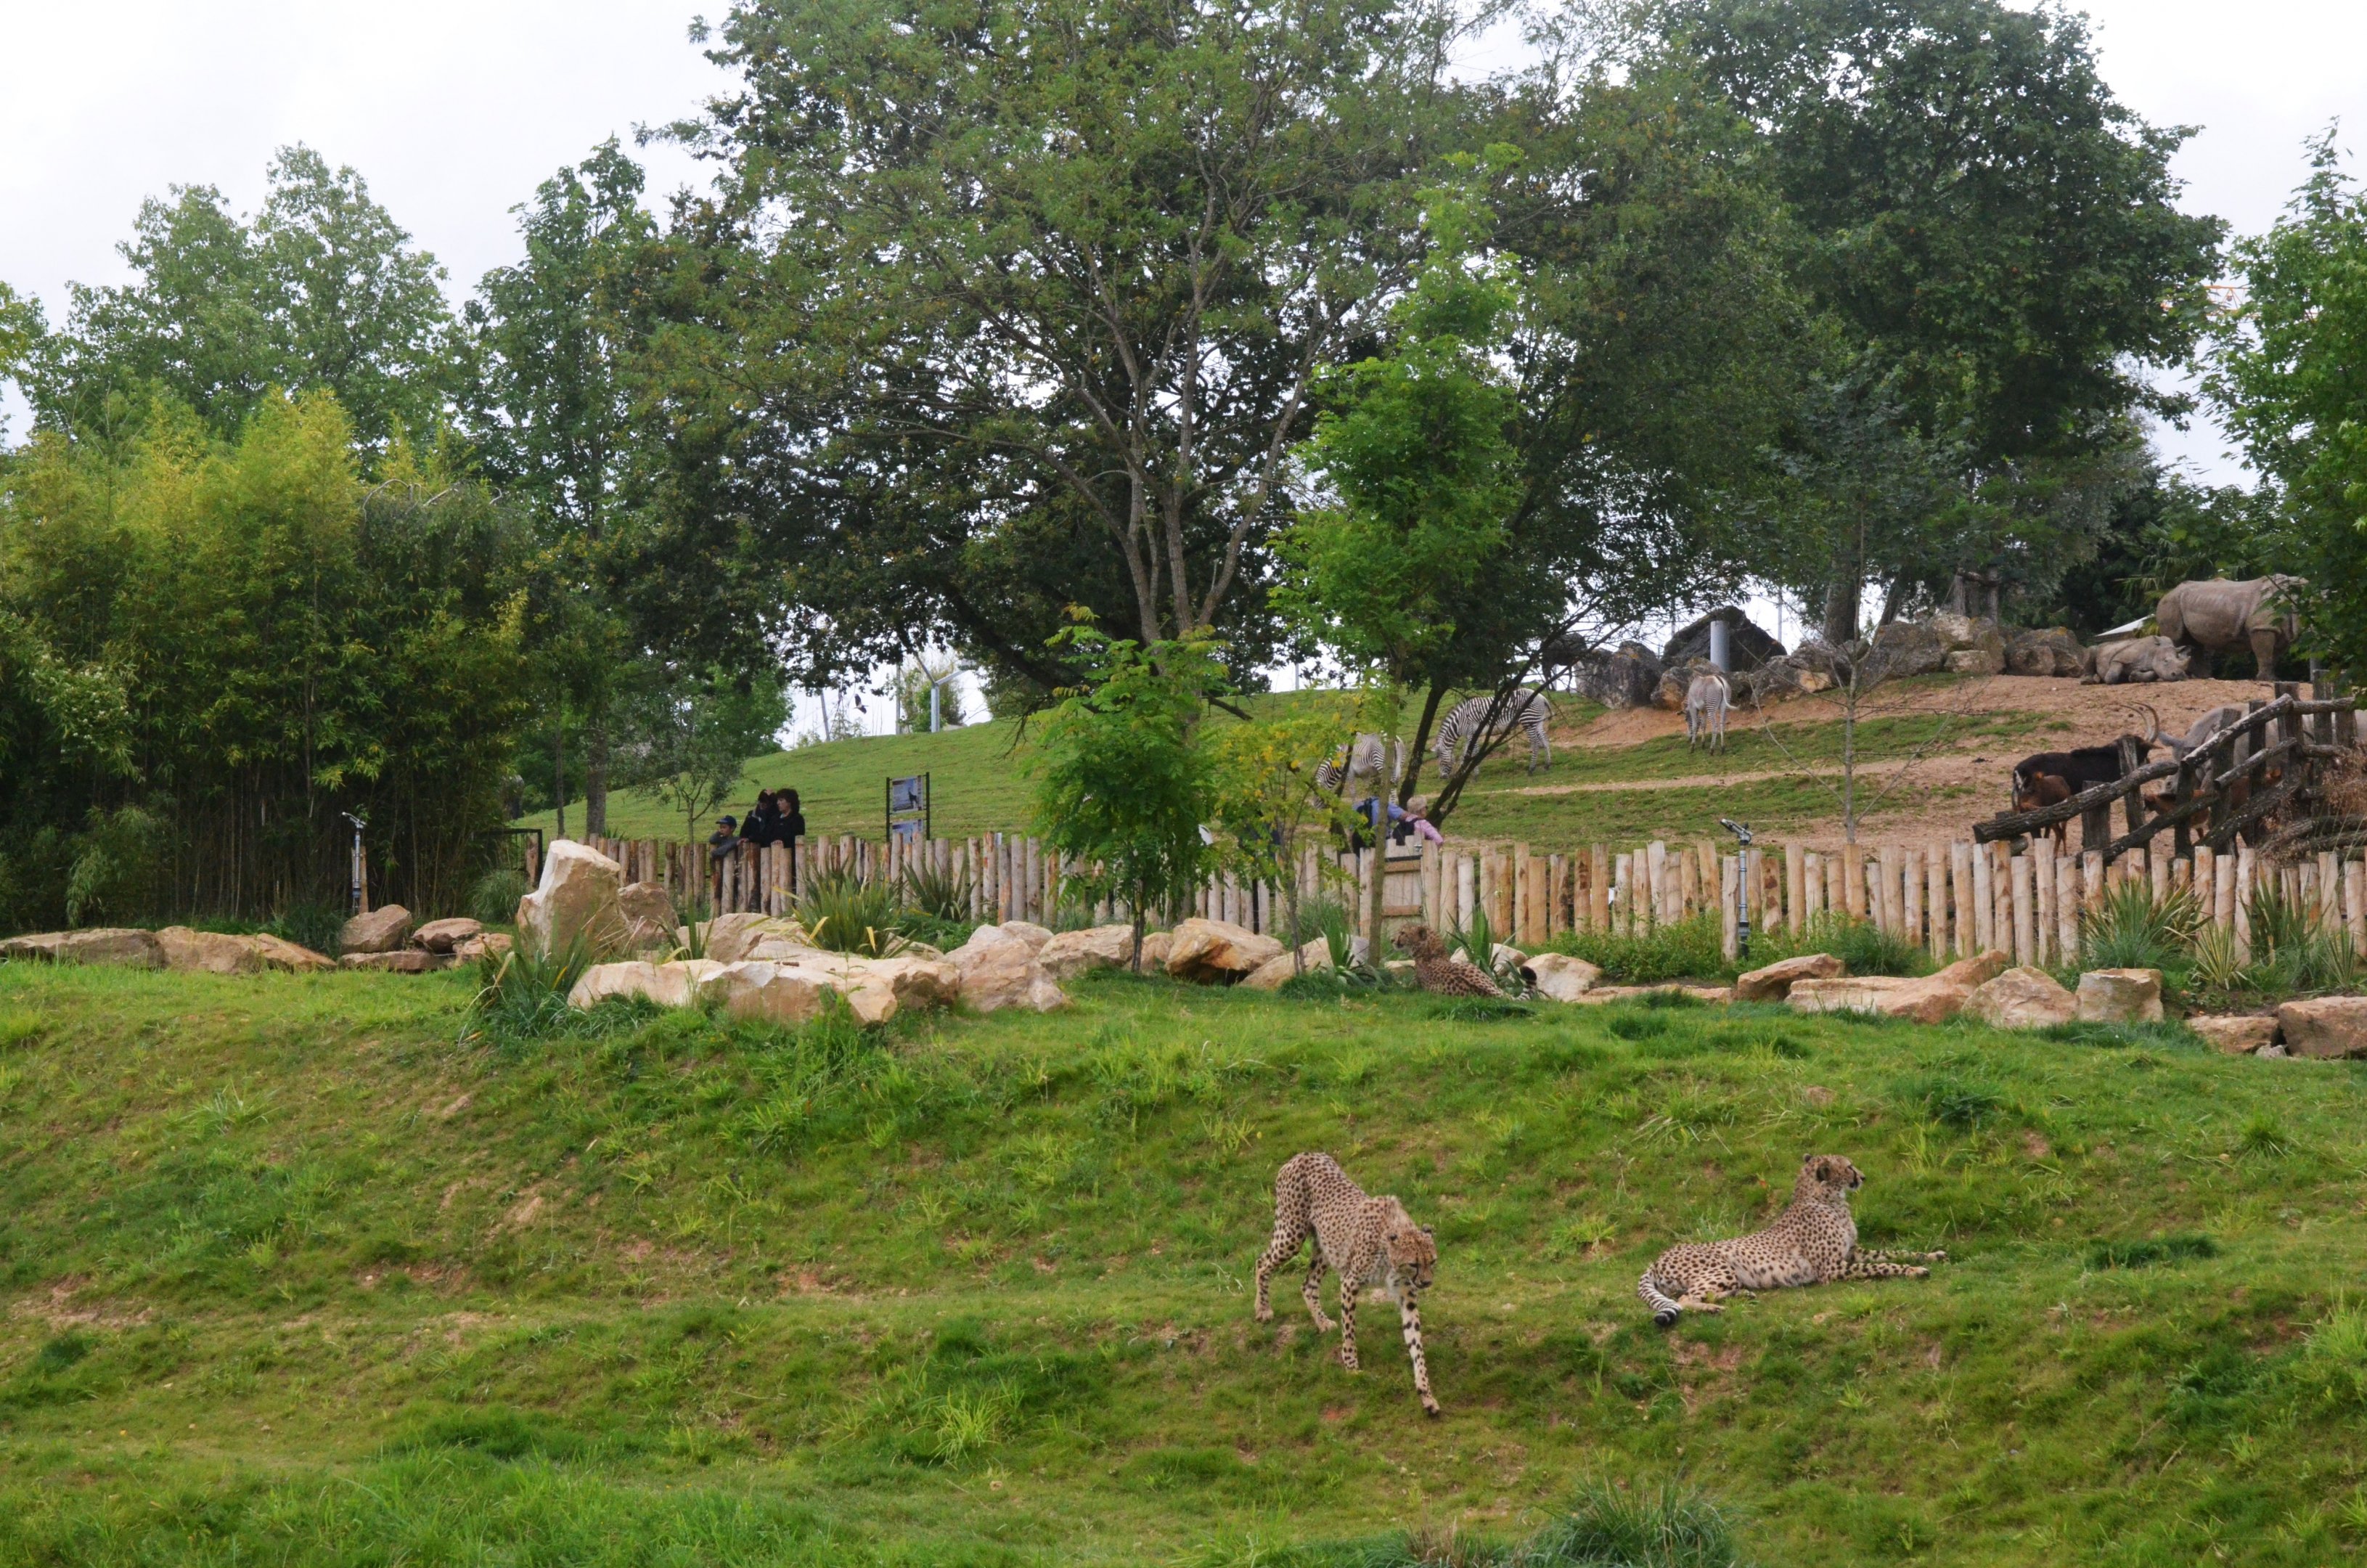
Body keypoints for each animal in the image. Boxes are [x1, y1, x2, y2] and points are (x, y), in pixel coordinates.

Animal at [1254, 1151, 1442, 1416]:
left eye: (1432, 1261)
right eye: (1414, 1264)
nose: (1426, 1282)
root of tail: (1304, 1154)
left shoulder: (1407, 1296)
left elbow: (1416, 1343)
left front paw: (1425, 1392)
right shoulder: (1350, 1282)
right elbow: (1350, 1327)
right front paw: (1352, 1365)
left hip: (1326, 1246)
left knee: (1308, 1284)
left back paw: (1322, 1322)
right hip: (1292, 1234)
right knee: (1262, 1262)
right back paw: (1263, 1309)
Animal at [1636, 1154, 1946, 1327]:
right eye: (1849, 1167)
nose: (1863, 1177)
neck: (1828, 1200)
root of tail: (1658, 1257)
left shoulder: (1852, 1253)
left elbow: (1894, 1252)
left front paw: (1931, 1256)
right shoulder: (1833, 1269)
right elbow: (1884, 1266)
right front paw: (1914, 1271)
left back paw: (1742, 1295)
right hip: (1722, 1268)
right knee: (1686, 1298)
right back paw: (1714, 1307)